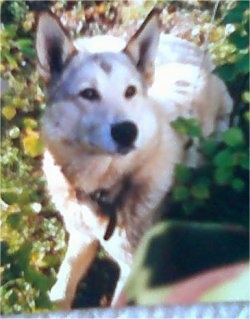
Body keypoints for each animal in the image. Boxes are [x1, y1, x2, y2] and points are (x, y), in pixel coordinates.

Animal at [35, 9, 232, 310]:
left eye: (130, 92)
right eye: (88, 93)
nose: (127, 131)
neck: (101, 188)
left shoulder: (133, 265)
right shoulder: (80, 236)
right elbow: (60, 290)